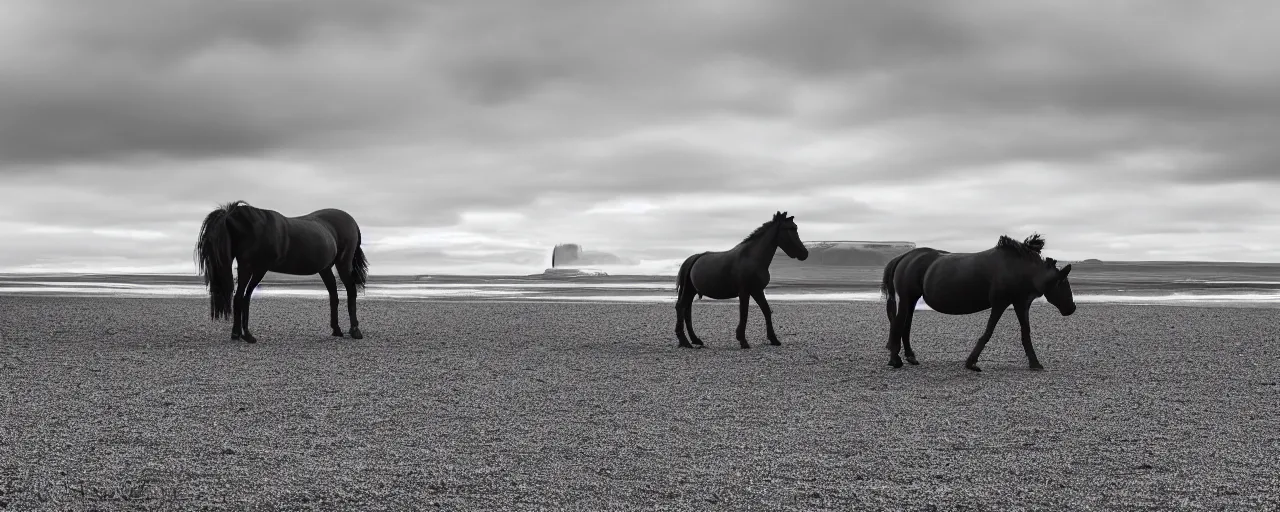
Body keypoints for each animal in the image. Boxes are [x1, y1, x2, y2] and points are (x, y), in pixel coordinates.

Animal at [193, 200, 371, 343]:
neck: (254, 226)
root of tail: (351, 221)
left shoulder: (258, 269)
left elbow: (246, 298)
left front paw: (247, 335)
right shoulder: (245, 267)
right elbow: (240, 297)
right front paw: (238, 334)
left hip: (343, 264)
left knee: (351, 291)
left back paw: (355, 330)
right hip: (325, 269)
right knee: (334, 295)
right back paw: (337, 330)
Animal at [670, 211, 808, 348]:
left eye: (795, 228)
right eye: (789, 229)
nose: (804, 253)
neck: (752, 258)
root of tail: (693, 258)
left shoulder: (757, 291)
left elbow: (766, 311)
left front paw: (773, 339)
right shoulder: (744, 292)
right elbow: (744, 313)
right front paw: (742, 340)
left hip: (691, 291)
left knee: (687, 310)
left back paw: (695, 339)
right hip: (688, 291)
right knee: (681, 308)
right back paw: (684, 341)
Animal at [880, 232, 1070, 371]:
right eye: (1063, 283)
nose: (1071, 307)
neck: (1018, 268)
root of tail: (905, 256)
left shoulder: (1020, 303)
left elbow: (1026, 332)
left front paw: (1035, 363)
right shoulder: (1000, 303)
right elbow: (988, 332)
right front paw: (971, 362)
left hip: (911, 300)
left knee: (906, 325)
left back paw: (910, 356)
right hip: (907, 298)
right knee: (898, 324)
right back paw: (895, 360)